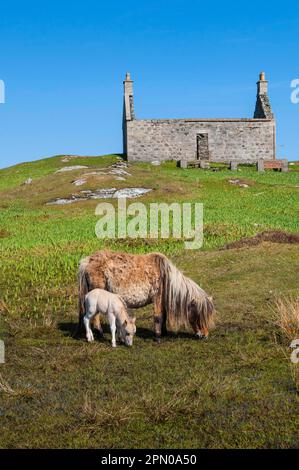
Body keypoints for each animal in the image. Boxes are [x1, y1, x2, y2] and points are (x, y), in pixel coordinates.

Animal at [77, 250, 213, 342]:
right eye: (199, 315)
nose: (205, 335)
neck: (165, 275)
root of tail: (88, 261)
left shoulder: (161, 300)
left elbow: (164, 316)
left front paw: (164, 332)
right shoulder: (157, 298)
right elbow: (158, 317)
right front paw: (158, 337)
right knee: (96, 317)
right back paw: (100, 333)